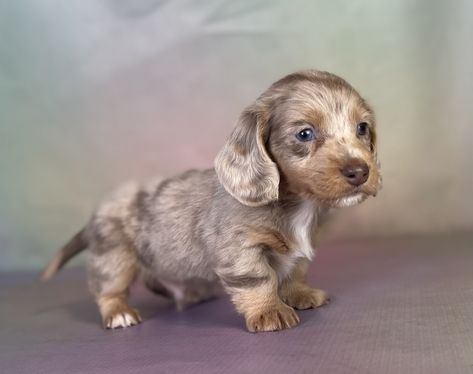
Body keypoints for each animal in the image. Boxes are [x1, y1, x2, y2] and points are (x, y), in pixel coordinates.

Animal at [40, 70, 380, 334]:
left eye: (362, 128)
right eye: (305, 134)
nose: (360, 171)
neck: (294, 205)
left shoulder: (298, 254)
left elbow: (295, 271)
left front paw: (300, 294)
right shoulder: (240, 249)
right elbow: (260, 281)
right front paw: (269, 311)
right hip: (114, 258)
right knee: (108, 290)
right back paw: (119, 313)